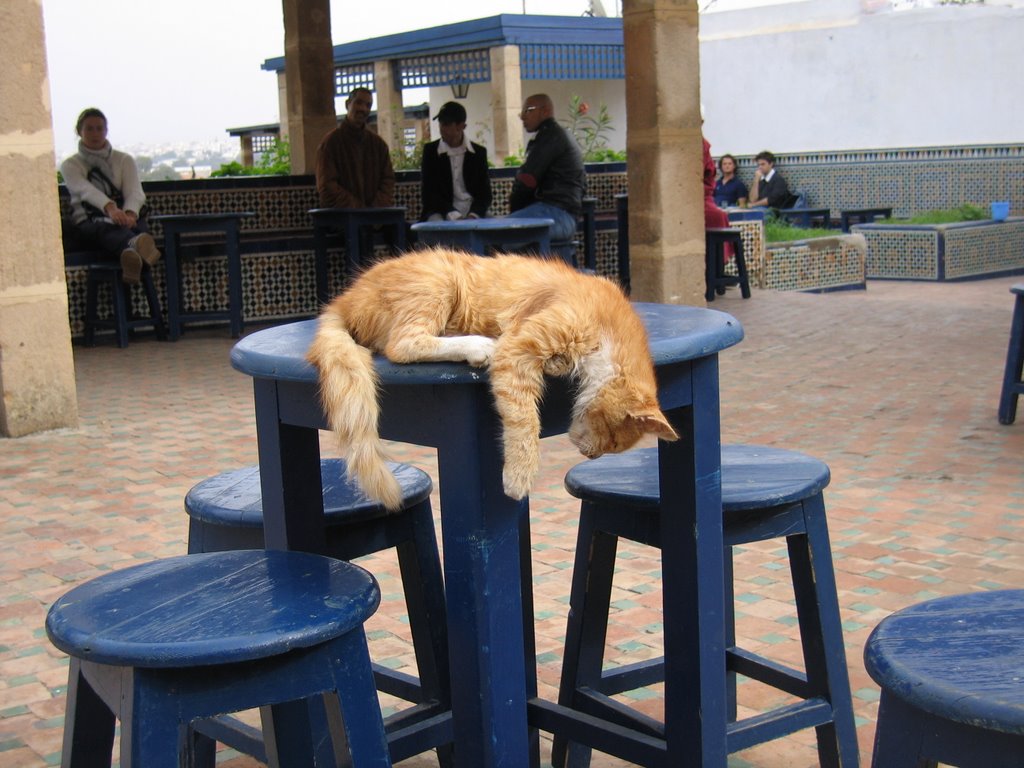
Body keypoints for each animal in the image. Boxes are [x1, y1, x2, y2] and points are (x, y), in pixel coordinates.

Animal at [311, 247, 679, 512]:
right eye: (613, 441)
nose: (592, 458)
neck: (608, 326)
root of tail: (343, 300)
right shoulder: (519, 349)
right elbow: (525, 422)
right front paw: (519, 475)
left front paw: (558, 365)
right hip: (436, 284)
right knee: (402, 345)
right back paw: (477, 345)